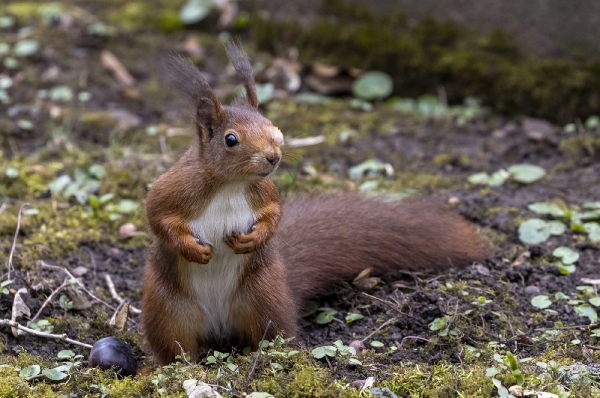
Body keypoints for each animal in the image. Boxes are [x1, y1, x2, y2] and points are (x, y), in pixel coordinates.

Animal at [142, 41, 488, 366]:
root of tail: (219, 324)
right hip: (167, 310)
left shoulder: (264, 191)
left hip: (263, 297)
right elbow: (157, 214)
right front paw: (193, 249)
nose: (273, 157)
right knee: (176, 350)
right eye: (230, 139)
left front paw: (255, 238)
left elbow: (274, 214)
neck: (231, 185)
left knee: (273, 334)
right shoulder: (178, 188)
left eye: (274, 127)